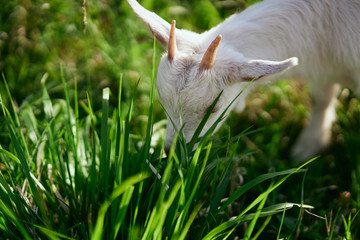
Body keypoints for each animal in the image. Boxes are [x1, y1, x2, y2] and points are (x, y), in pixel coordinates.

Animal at [126, 0, 360, 159]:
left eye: (213, 108)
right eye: (162, 101)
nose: (172, 152)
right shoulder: (324, 70)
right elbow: (321, 99)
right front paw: (309, 147)